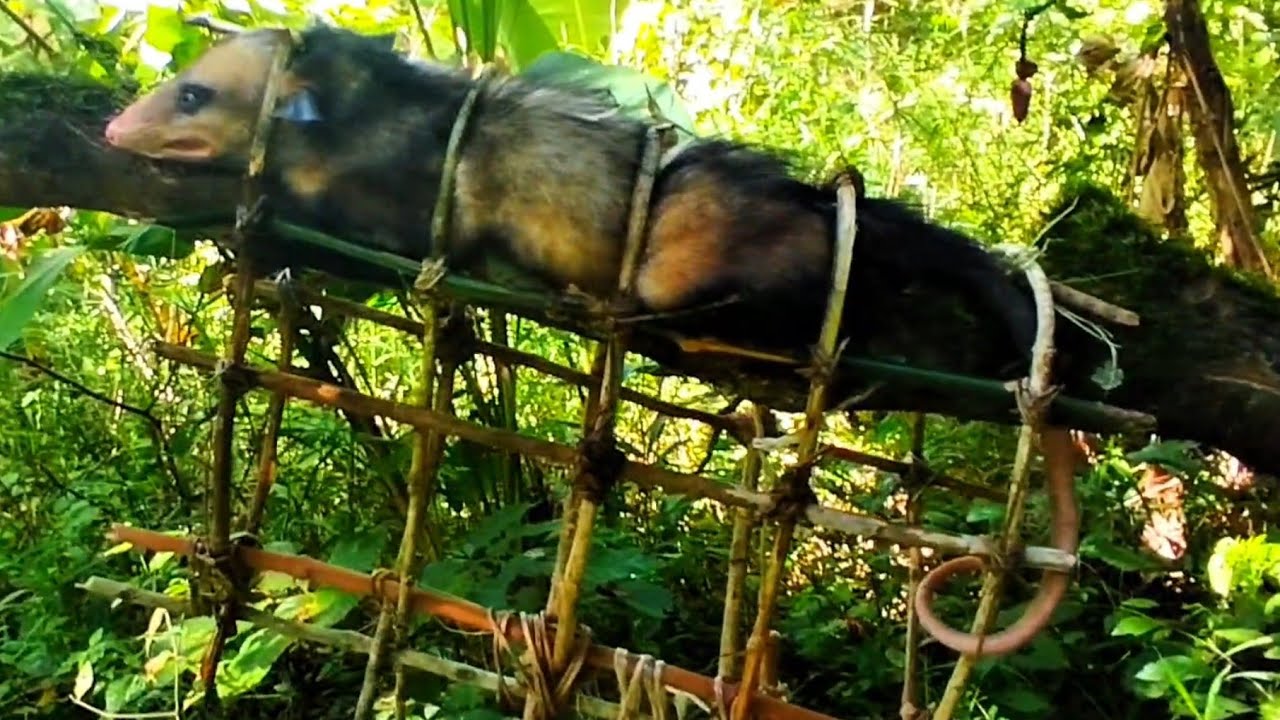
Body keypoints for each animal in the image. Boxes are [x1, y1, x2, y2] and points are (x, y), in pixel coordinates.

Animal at [102, 24, 1038, 361]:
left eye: (192, 95)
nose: (113, 130)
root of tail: (818, 203)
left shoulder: (400, 203)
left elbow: (370, 252)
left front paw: (249, 233)